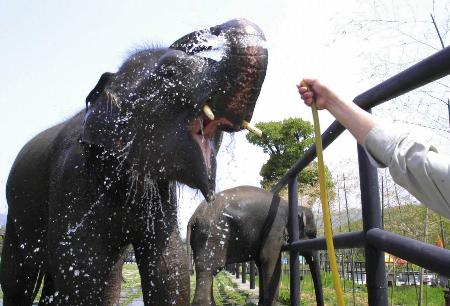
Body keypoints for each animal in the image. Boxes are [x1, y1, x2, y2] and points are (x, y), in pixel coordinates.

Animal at [0, 19, 268, 306]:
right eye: (170, 71)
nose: (214, 31)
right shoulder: (71, 179)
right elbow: (83, 273)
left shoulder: (161, 195)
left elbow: (169, 270)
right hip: (16, 215)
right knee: (18, 279)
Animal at [187, 185, 324, 306]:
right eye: (313, 234)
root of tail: (193, 218)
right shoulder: (275, 226)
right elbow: (269, 260)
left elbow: (261, 262)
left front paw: (261, 303)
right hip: (212, 233)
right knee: (209, 267)